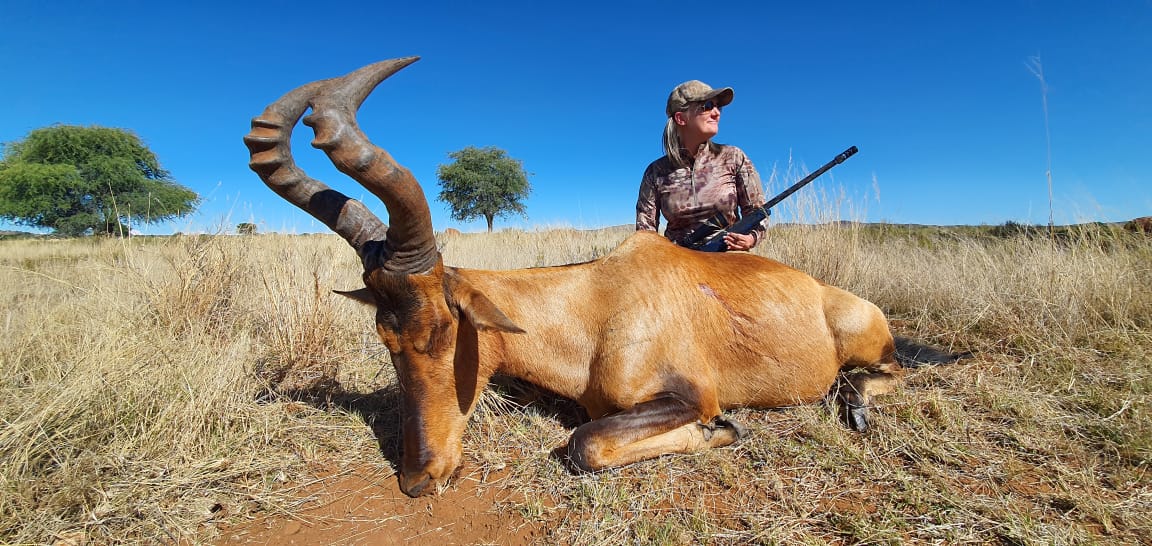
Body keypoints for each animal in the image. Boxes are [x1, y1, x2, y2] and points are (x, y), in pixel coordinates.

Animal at [245, 57, 972, 497]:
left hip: (866, 341)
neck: (595, 301)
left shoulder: (686, 393)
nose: (420, 477)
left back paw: (853, 403)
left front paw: (726, 429)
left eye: (445, 327)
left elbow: (586, 444)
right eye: (385, 337)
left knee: (888, 371)